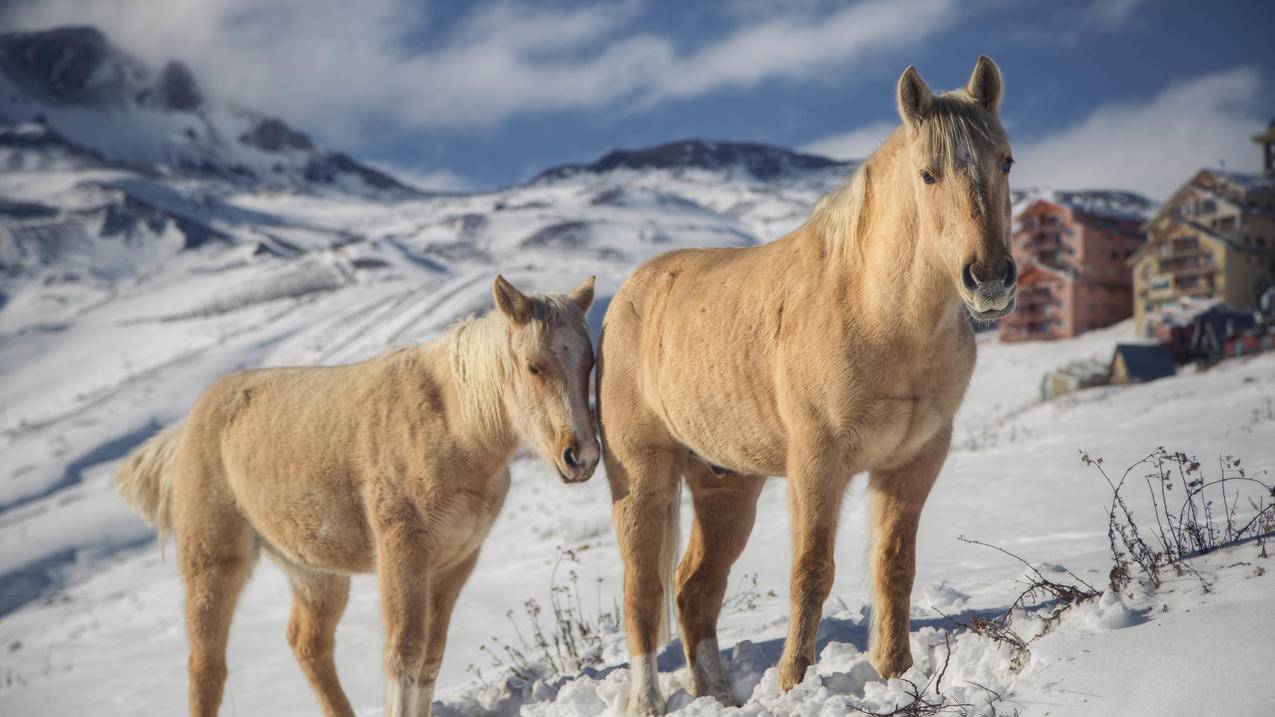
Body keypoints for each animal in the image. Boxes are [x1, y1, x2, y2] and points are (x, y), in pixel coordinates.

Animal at [112, 273, 599, 714]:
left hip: (315, 574)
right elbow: (403, 656)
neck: (452, 425)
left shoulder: (454, 565)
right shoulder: (403, 556)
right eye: (534, 366)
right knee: (207, 666)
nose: (582, 456)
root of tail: (187, 427)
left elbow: (430, 659)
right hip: (213, 563)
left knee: (308, 646)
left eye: (590, 364)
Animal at [596, 57, 1014, 709]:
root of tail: (627, 297)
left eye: (1007, 162)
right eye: (927, 174)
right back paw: (647, 702)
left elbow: (894, 565)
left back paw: (721, 697)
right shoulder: (818, 462)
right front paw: (794, 681)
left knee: (694, 589)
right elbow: (812, 571)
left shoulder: (914, 461)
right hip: (642, 479)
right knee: (643, 594)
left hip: (726, 486)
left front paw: (894, 673)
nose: (990, 279)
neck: (877, 313)